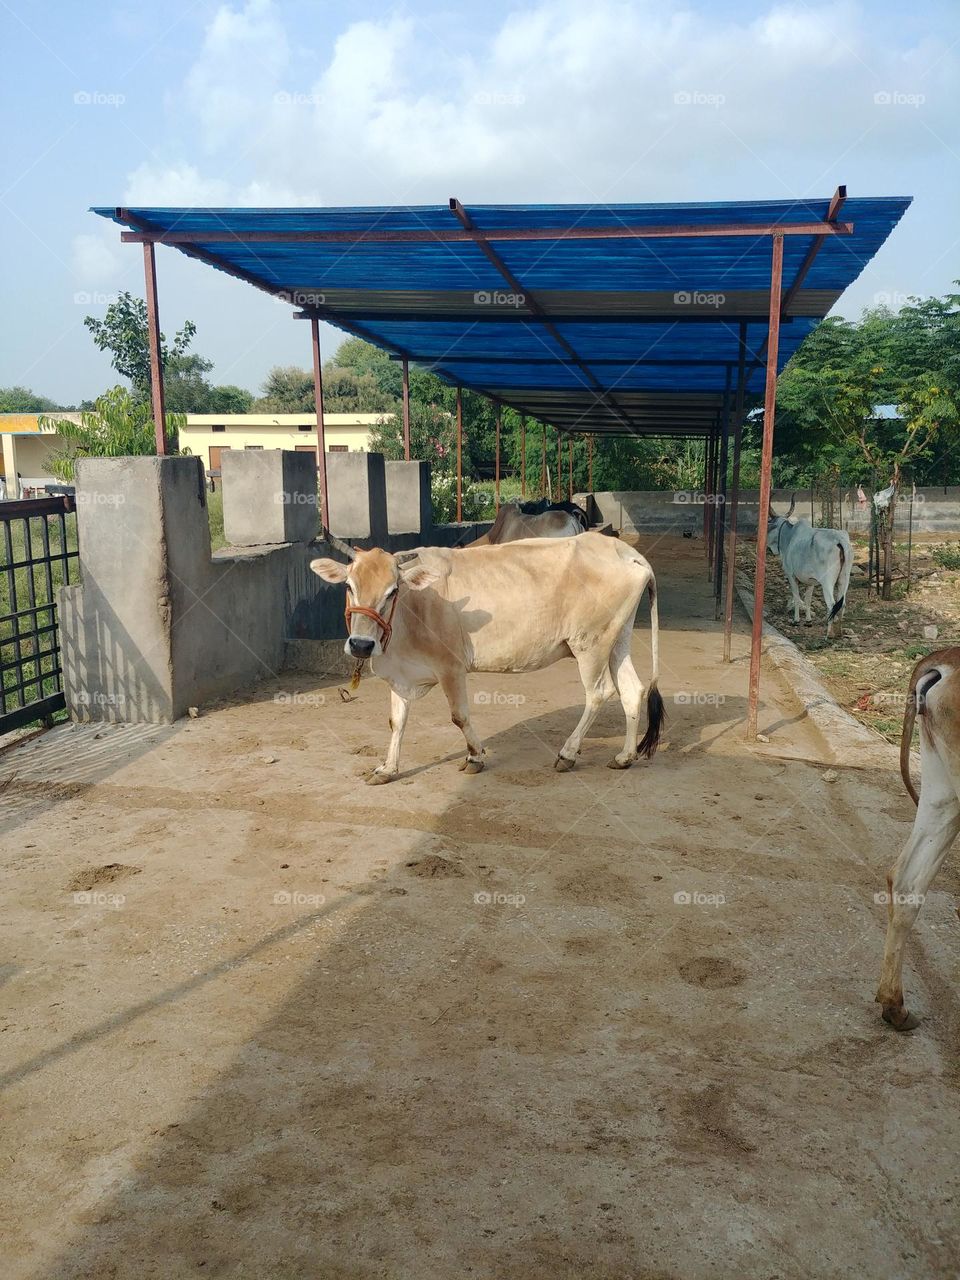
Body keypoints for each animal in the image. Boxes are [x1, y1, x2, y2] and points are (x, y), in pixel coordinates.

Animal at [310, 532, 664, 784]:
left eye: (392, 591)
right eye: (349, 586)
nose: (361, 645)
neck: (414, 606)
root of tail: (624, 551)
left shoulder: (451, 667)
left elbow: (459, 716)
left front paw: (475, 757)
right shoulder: (401, 675)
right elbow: (397, 721)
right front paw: (387, 768)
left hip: (590, 644)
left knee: (599, 693)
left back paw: (567, 754)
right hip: (617, 640)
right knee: (631, 690)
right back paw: (624, 756)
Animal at [766, 496, 852, 638]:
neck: (789, 537)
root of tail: (839, 540)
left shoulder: (791, 575)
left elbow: (796, 596)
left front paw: (796, 620)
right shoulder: (810, 581)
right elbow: (807, 599)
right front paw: (808, 621)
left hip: (827, 581)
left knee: (832, 604)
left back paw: (829, 634)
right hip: (844, 578)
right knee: (842, 603)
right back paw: (839, 632)